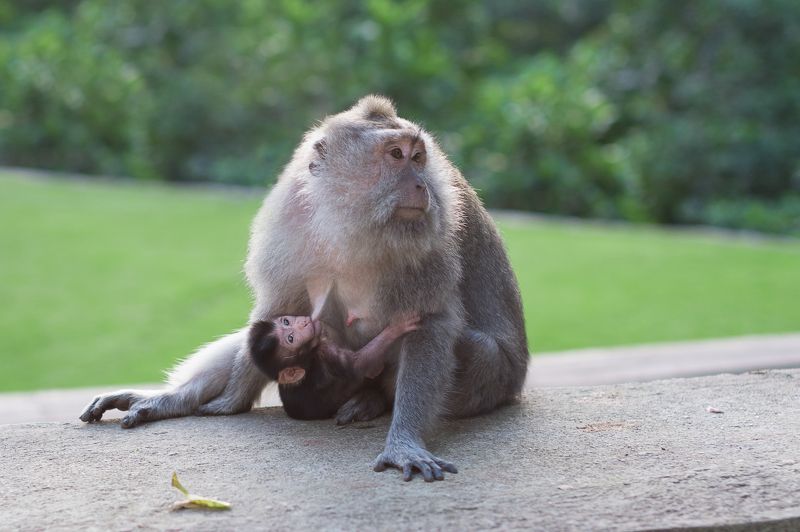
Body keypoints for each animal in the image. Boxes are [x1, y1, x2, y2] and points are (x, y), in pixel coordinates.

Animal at [252, 312, 422, 420]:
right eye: (291, 339)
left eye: (286, 321)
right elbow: (362, 364)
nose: (304, 323)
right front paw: (397, 326)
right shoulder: (326, 354)